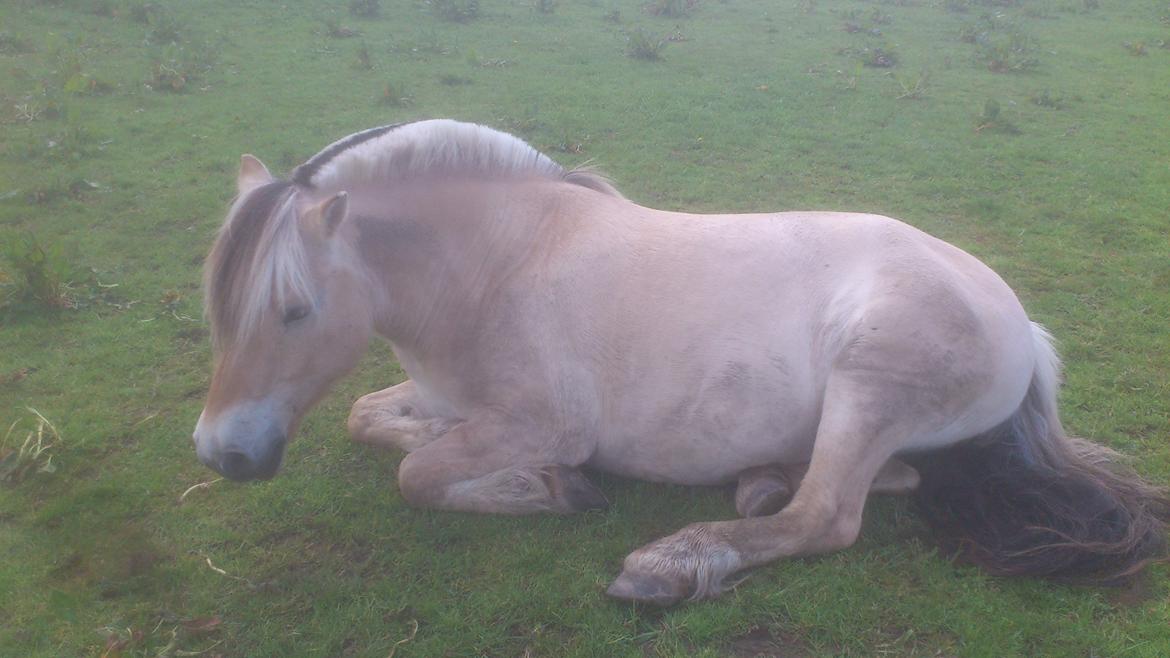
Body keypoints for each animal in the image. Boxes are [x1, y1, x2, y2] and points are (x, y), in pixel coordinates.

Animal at [196, 118, 1165, 604]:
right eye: (219, 307)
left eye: (293, 310)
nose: (222, 453)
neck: (500, 263)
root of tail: (1023, 326)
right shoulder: (446, 398)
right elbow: (369, 420)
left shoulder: (538, 422)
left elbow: (420, 476)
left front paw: (544, 490)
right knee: (885, 480)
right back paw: (761, 478)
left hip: (870, 384)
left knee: (827, 515)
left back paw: (671, 565)